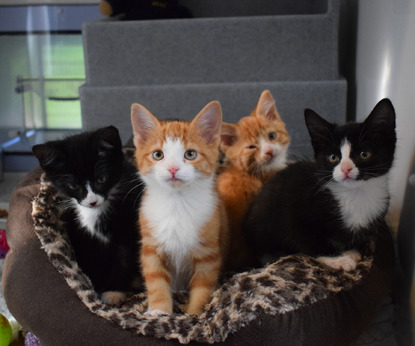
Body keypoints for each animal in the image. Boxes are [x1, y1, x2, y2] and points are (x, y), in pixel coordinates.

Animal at [32, 126, 144, 302]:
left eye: (101, 179)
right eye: (73, 186)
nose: (92, 201)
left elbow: (125, 255)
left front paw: (113, 292)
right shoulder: (81, 234)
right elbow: (89, 256)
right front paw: (96, 288)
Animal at [131, 100, 228, 316]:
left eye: (190, 154)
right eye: (158, 154)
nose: (173, 168)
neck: (177, 204)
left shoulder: (208, 252)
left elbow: (203, 286)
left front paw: (194, 314)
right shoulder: (150, 247)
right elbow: (156, 281)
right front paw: (159, 311)